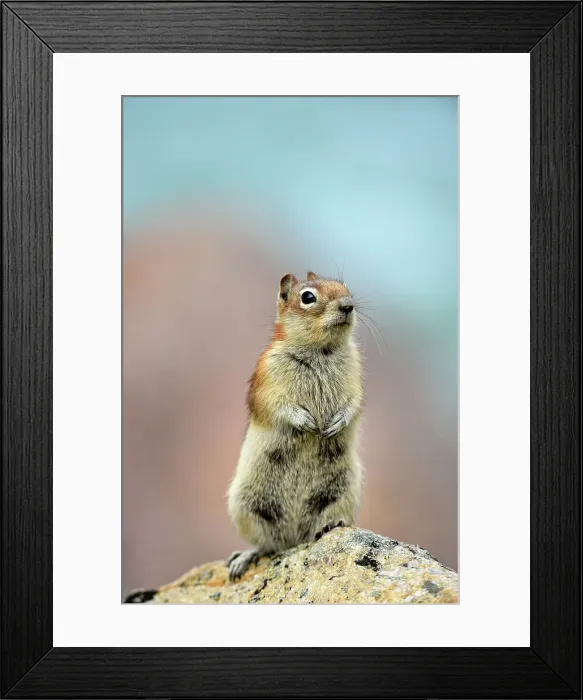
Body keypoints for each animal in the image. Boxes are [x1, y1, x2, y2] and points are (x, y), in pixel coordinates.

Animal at [226, 271, 363, 580]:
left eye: (345, 287)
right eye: (308, 297)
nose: (348, 305)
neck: (322, 351)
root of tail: (294, 540)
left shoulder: (356, 376)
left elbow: (354, 405)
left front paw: (336, 423)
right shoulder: (267, 379)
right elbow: (277, 407)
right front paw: (307, 421)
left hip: (342, 492)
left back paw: (330, 526)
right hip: (246, 505)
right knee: (266, 544)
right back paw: (243, 558)